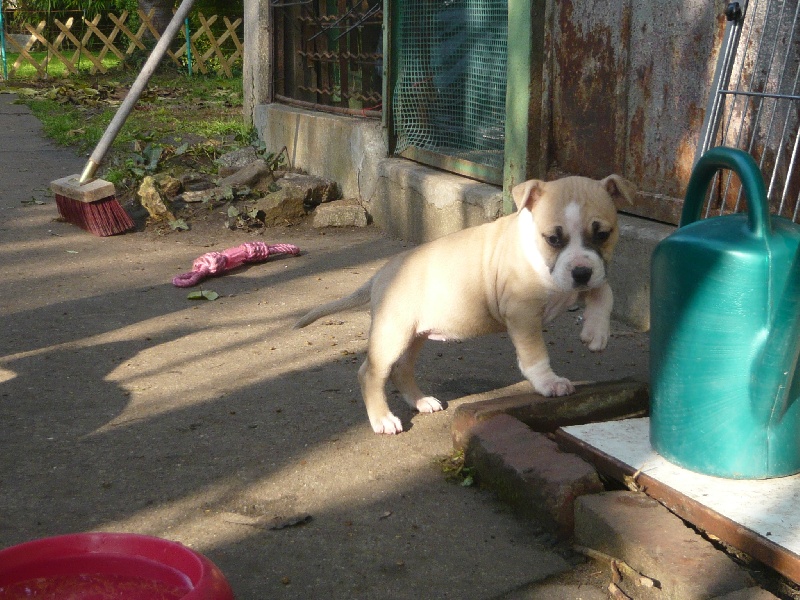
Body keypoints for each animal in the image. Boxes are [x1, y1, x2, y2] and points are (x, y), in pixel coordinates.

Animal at [296, 173, 636, 432]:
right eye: (553, 239)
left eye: (603, 234)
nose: (580, 272)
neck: (539, 256)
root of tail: (382, 273)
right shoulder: (523, 313)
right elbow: (535, 355)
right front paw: (548, 383)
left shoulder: (588, 277)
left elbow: (604, 291)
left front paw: (596, 333)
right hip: (392, 334)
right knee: (371, 373)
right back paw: (383, 420)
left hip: (414, 335)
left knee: (401, 370)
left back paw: (421, 402)